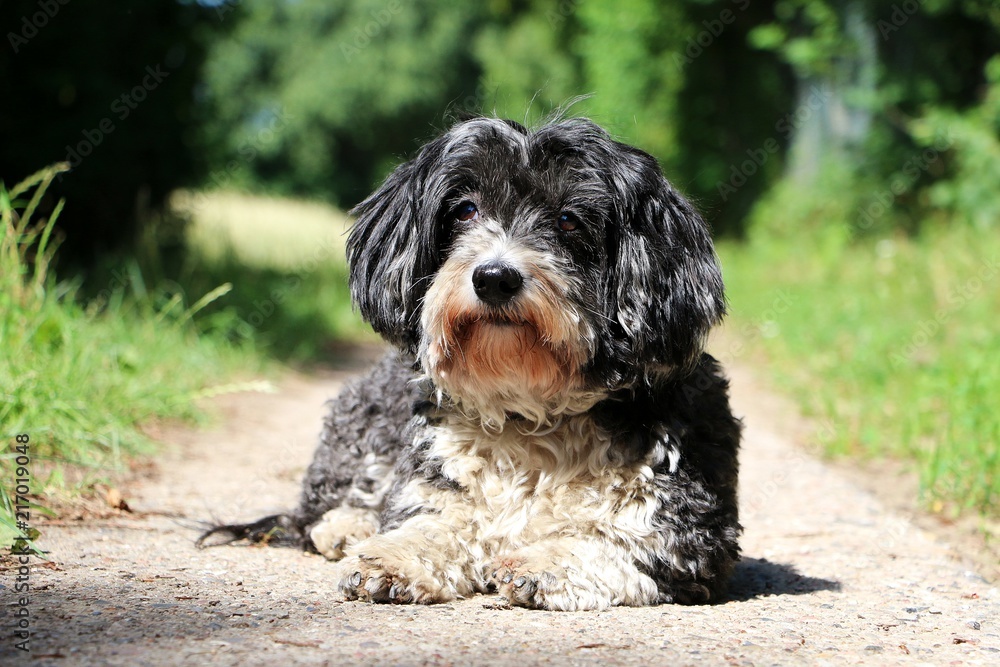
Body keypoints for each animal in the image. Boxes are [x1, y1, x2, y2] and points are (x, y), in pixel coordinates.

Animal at [197, 115, 744, 612]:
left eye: (568, 220)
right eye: (464, 209)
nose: (495, 277)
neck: (530, 411)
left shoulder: (684, 530)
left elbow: (610, 539)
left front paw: (541, 561)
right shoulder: (435, 479)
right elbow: (434, 521)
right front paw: (394, 556)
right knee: (318, 511)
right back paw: (347, 528)